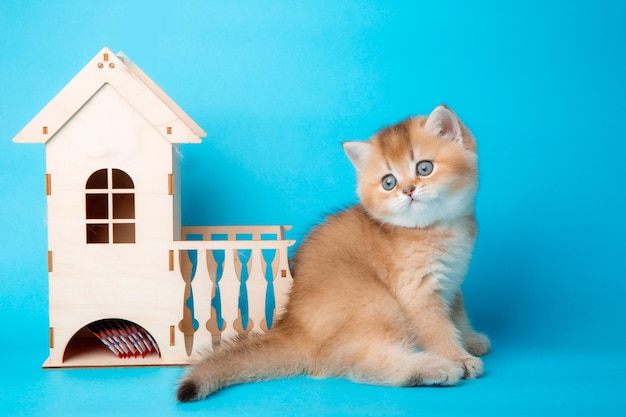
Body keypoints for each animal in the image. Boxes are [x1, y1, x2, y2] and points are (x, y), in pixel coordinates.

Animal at [176, 105, 488, 402]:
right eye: (389, 182)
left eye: (424, 168)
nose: (408, 190)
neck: (437, 228)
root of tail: (292, 329)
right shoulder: (418, 293)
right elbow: (438, 329)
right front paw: (458, 358)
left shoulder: (452, 284)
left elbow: (457, 315)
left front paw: (470, 340)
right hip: (375, 303)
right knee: (364, 363)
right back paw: (433, 369)